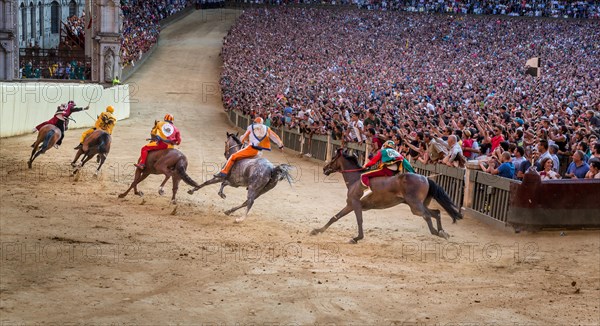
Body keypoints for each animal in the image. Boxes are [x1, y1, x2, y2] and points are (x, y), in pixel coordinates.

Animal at [312, 149, 462, 243]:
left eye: (333, 158)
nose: (325, 169)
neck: (355, 179)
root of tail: (425, 178)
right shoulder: (350, 205)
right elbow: (334, 217)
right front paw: (317, 230)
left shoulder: (354, 204)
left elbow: (359, 220)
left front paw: (357, 238)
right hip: (419, 204)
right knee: (436, 213)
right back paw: (442, 232)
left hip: (415, 206)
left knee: (427, 216)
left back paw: (436, 232)